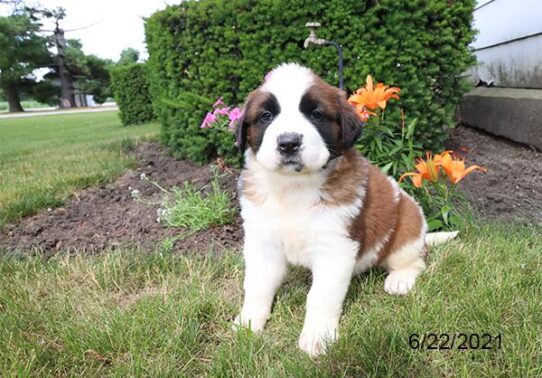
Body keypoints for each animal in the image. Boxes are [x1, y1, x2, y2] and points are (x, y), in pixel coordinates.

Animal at [234, 62, 454, 358]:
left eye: (316, 114)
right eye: (266, 116)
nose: (289, 143)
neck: (294, 187)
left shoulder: (335, 248)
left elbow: (321, 296)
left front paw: (318, 336)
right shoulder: (262, 242)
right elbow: (257, 285)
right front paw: (248, 322)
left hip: (406, 227)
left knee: (416, 258)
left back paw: (400, 279)